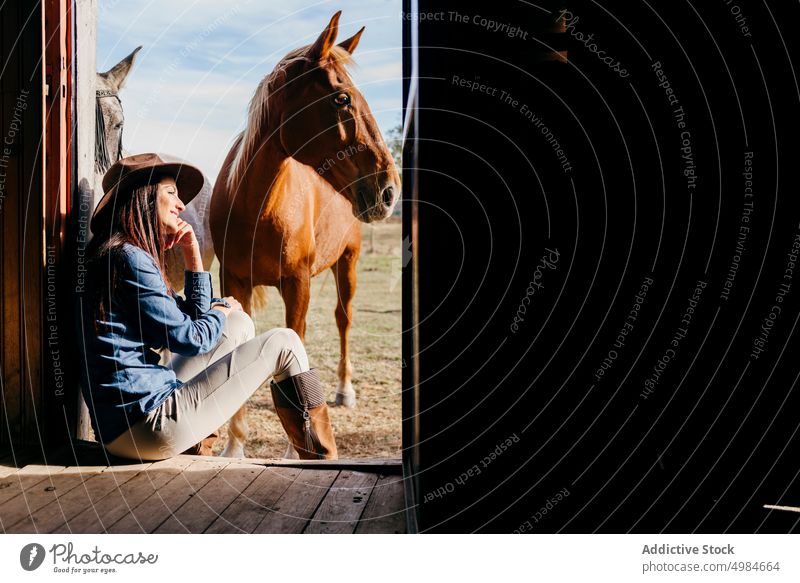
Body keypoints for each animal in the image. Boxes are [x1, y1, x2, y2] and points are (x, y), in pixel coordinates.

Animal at [209, 10, 400, 456]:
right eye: (342, 98)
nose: (389, 189)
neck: (257, 206)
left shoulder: (297, 284)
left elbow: (295, 344)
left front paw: (297, 444)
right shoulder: (233, 280)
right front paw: (234, 446)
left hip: (347, 264)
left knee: (343, 320)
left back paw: (344, 390)